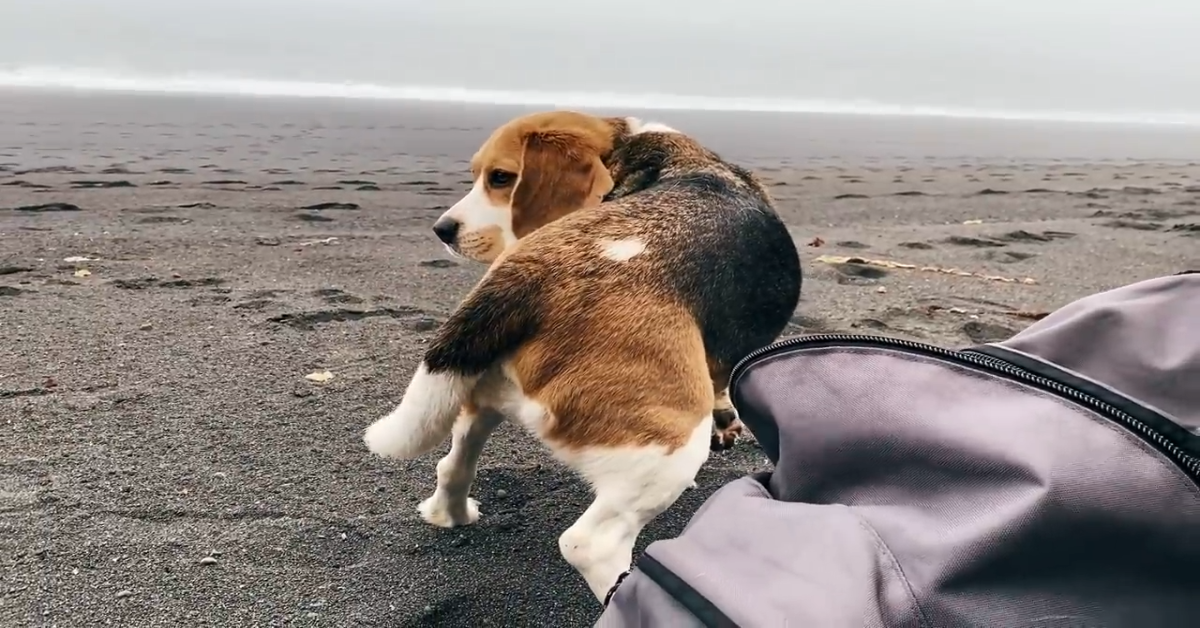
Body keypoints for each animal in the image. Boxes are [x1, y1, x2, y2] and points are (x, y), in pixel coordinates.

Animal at [360, 110, 801, 602]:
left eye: (499, 178)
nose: (443, 230)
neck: (635, 147)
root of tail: (530, 274)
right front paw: (727, 420)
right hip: (670, 443)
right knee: (588, 544)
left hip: (480, 392)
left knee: (451, 465)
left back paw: (450, 515)